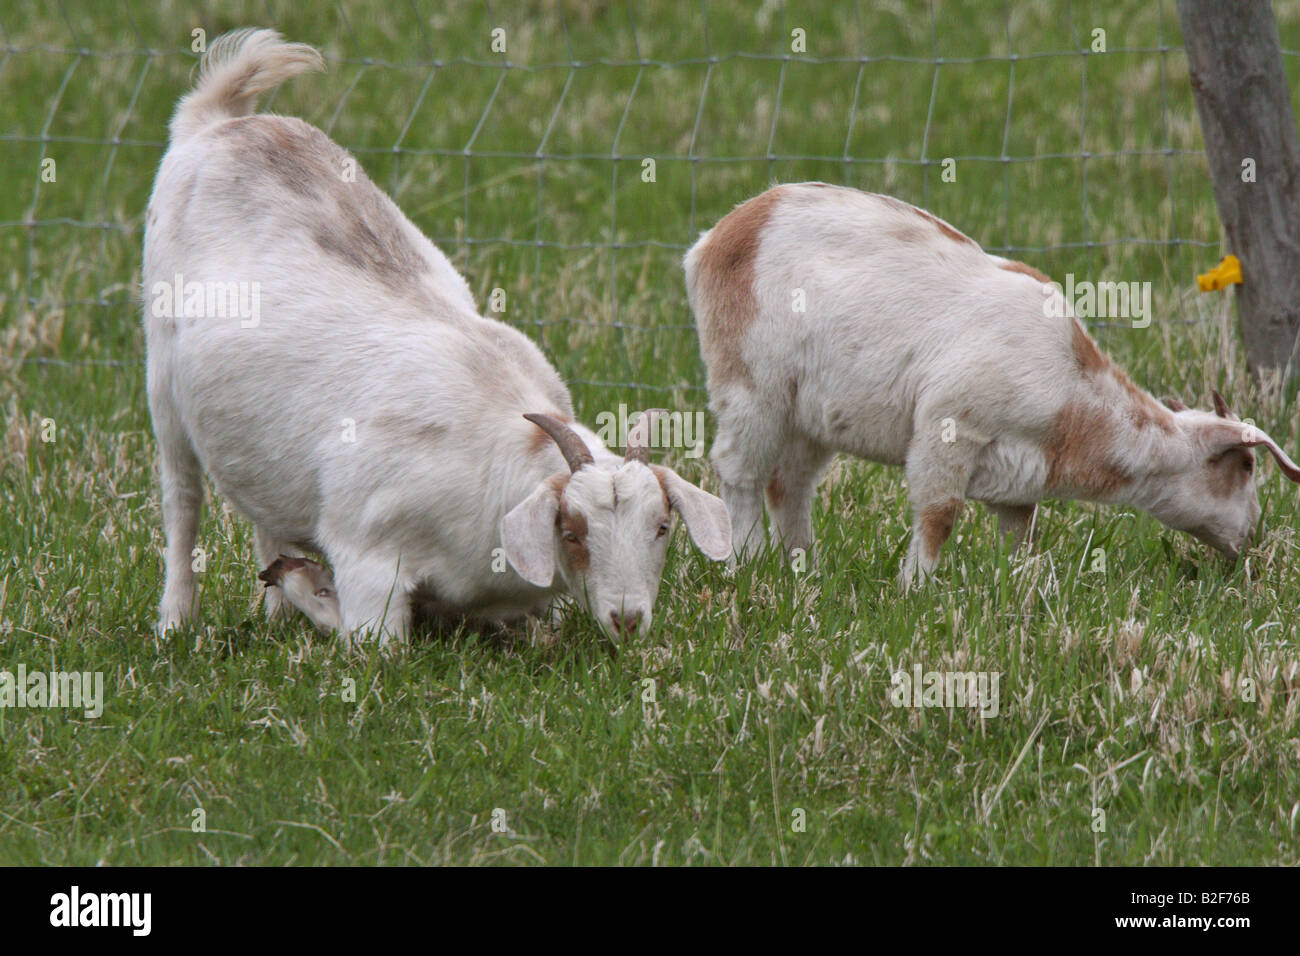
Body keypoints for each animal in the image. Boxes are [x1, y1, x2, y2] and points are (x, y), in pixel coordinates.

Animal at [145, 29, 730, 642]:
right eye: (571, 531)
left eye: (662, 526)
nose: (627, 619)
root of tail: (216, 120)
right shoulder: (369, 560)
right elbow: (366, 637)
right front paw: (304, 581)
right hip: (161, 376)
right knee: (182, 502)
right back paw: (176, 622)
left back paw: (274, 615)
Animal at [684, 182, 1300, 584]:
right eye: (1246, 467)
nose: (1255, 540)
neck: (1074, 399)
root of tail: (716, 238)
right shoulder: (950, 426)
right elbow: (939, 515)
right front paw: (917, 588)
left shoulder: (1022, 475)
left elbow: (1020, 534)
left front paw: (1015, 590)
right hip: (750, 383)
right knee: (740, 470)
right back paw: (748, 563)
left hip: (808, 414)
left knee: (789, 482)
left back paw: (803, 568)